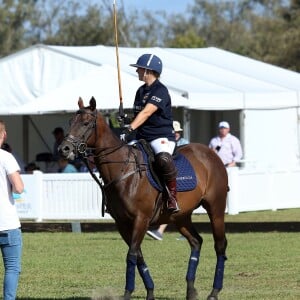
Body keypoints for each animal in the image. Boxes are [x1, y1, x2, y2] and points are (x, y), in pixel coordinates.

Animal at [58, 97, 227, 298]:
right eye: (70, 122)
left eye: (86, 123)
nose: (64, 148)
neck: (123, 170)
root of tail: (211, 153)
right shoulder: (122, 223)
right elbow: (138, 255)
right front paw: (150, 292)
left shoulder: (141, 219)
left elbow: (131, 255)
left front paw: (127, 293)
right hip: (180, 216)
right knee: (196, 241)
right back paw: (191, 289)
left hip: (216, 207)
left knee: (220, 245)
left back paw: (214, 291)